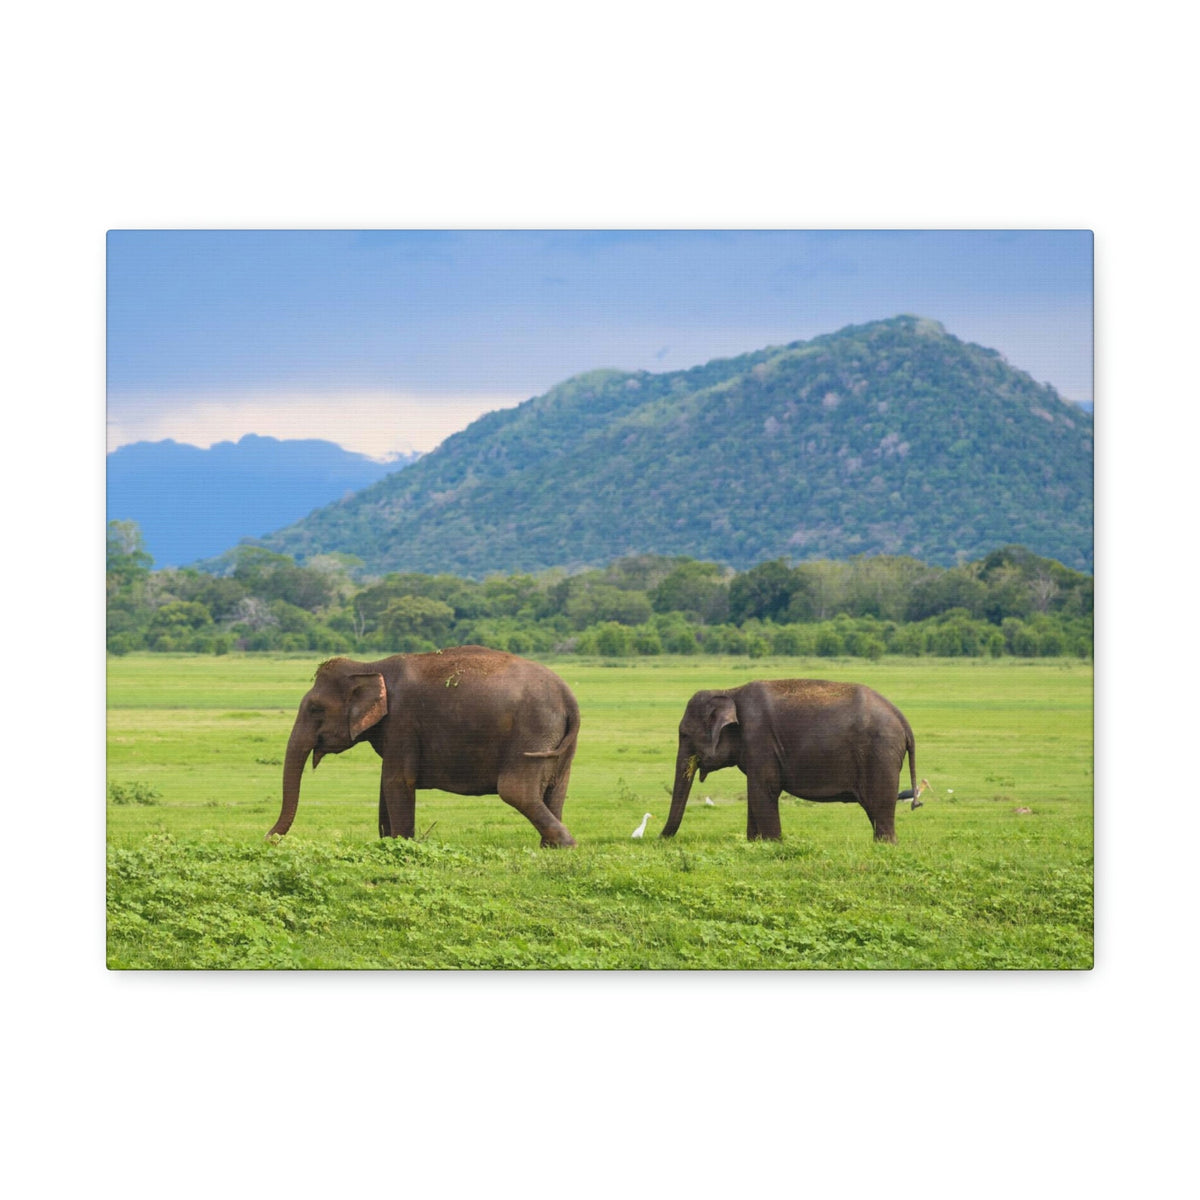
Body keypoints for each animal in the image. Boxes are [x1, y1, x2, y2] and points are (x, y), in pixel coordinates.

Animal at [268, 646, 580, 847]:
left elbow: (397, 781)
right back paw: (550, 848)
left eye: (315, 709)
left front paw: (402, 844)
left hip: (532, 731)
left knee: (516, 791)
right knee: (556, 790)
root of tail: (569, 696)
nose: (268, 839)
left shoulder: (402, 722)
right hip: (559, 741)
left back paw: (566, 844)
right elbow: (385, 785)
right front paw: (387, 843)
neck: (369, 667)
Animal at [660, 678, 917, 844]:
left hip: (880, 755)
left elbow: (764, 789)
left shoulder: (759, 740)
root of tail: (902, 719)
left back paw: (885, 845)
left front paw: (772, 843)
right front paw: (755, 843)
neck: (730, 691)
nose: (659, 839)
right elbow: (755, 792)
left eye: (684, 734)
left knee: (880, 808)